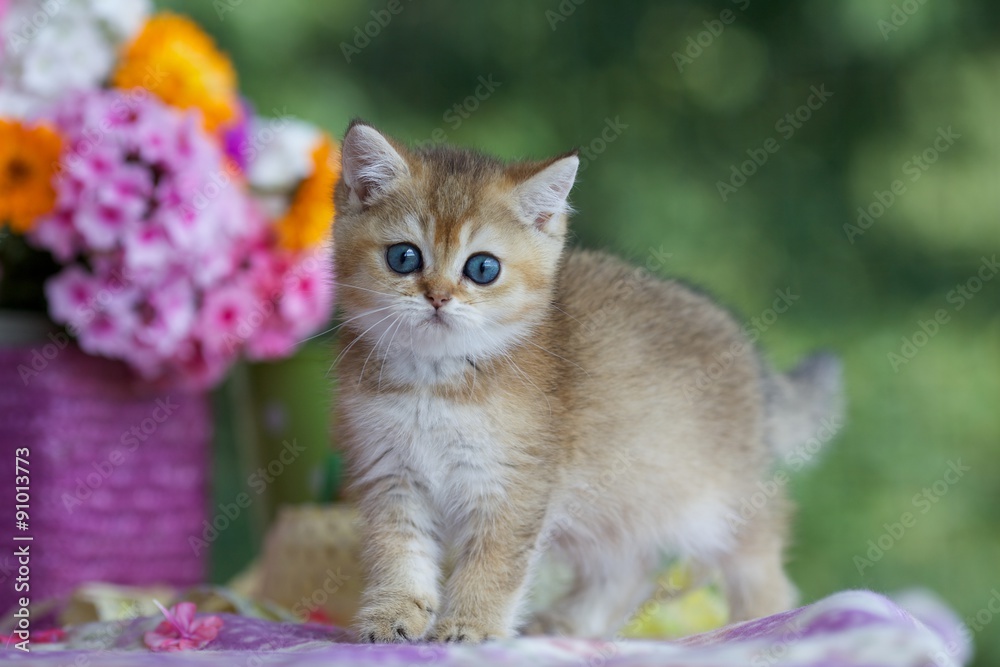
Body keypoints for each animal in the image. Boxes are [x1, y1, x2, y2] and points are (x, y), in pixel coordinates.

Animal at [332, 120, 840, 640]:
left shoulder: (514, 488)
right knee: (630, 567)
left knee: (763, 540)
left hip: (715, 499)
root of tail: (753, 361)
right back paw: (571, 624)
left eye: (482, 268)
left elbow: (492, 566)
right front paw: (394, 615)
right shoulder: (393, 479)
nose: (437, 297)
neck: (433, 384)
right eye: (404, 257)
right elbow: (399, 556)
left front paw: (470, 626)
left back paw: (765, 615)